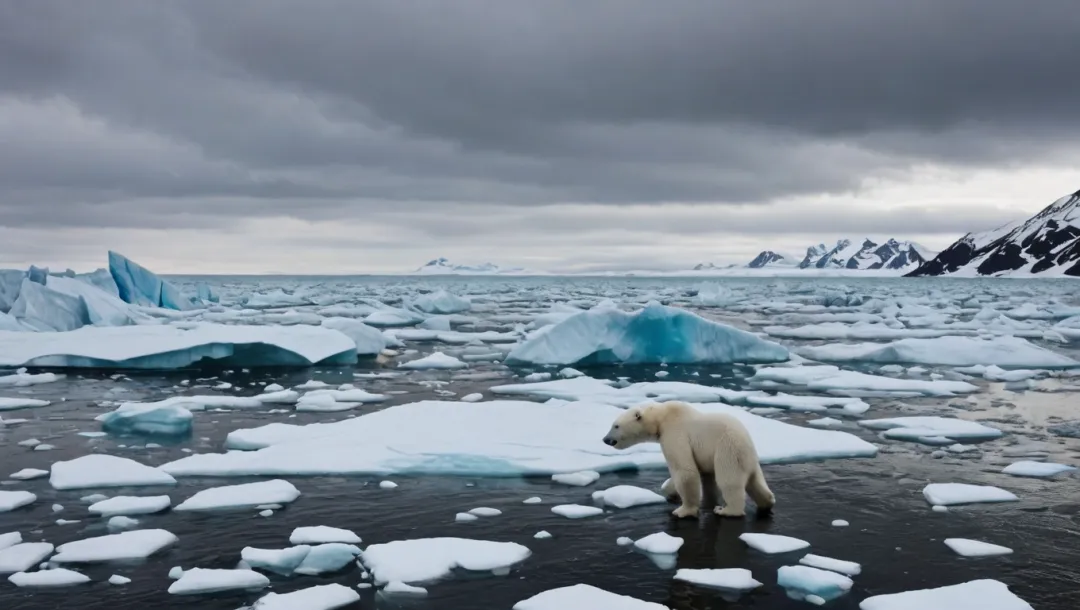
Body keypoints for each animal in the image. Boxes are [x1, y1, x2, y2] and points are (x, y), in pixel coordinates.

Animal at [600, 401, 777, 516]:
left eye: (616, 426)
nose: (605, 439)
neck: (662, 417)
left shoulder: (675, 433)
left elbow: (684, 471)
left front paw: (683, 511)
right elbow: (704, 474)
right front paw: (671, 493)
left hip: (728, 450)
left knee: (729, 481)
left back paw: (726, 510)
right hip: (749, 460)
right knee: (756, 482)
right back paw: (767, 502)